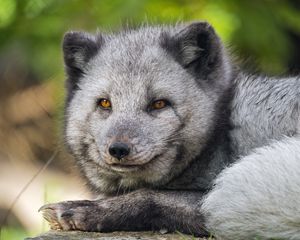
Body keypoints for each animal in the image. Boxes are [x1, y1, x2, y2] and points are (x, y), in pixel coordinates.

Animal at [40, 21, 300, 239]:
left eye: (159, 104)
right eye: (105, 103)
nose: (118, 150)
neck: (220, 136)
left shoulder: (215, 193)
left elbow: (150, 195)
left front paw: (88, 210)